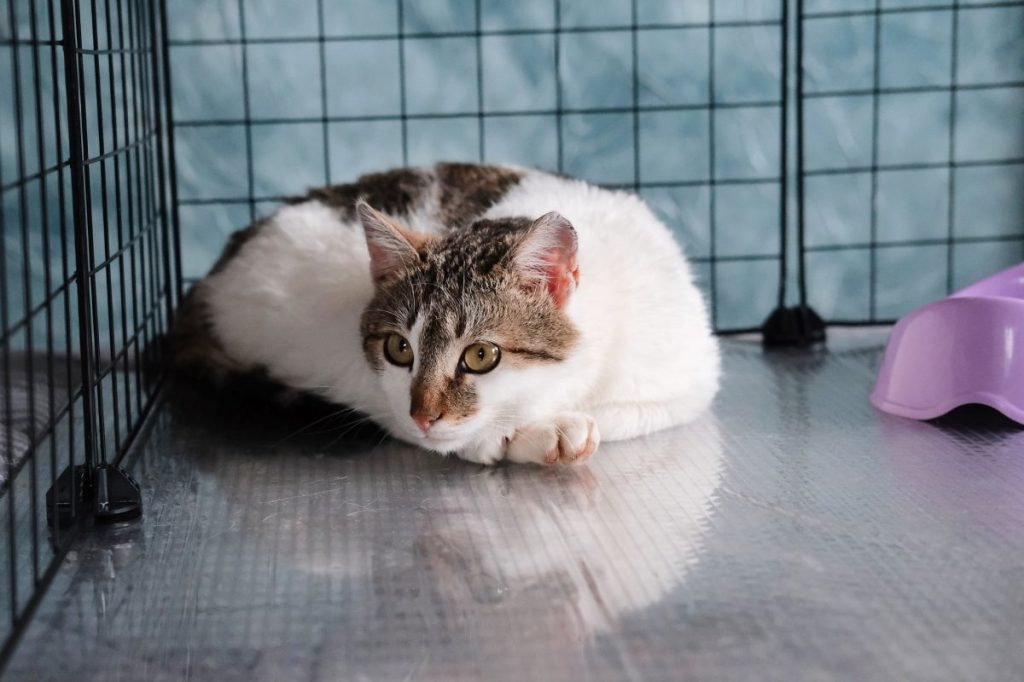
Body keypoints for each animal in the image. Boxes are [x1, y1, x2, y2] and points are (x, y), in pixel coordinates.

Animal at [169, 161, 720, 464]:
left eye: (481, 356)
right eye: (400, 349)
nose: (424, 415)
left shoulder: (690, 375)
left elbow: (636, 409)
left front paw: (555, 425)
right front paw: (523, 435)